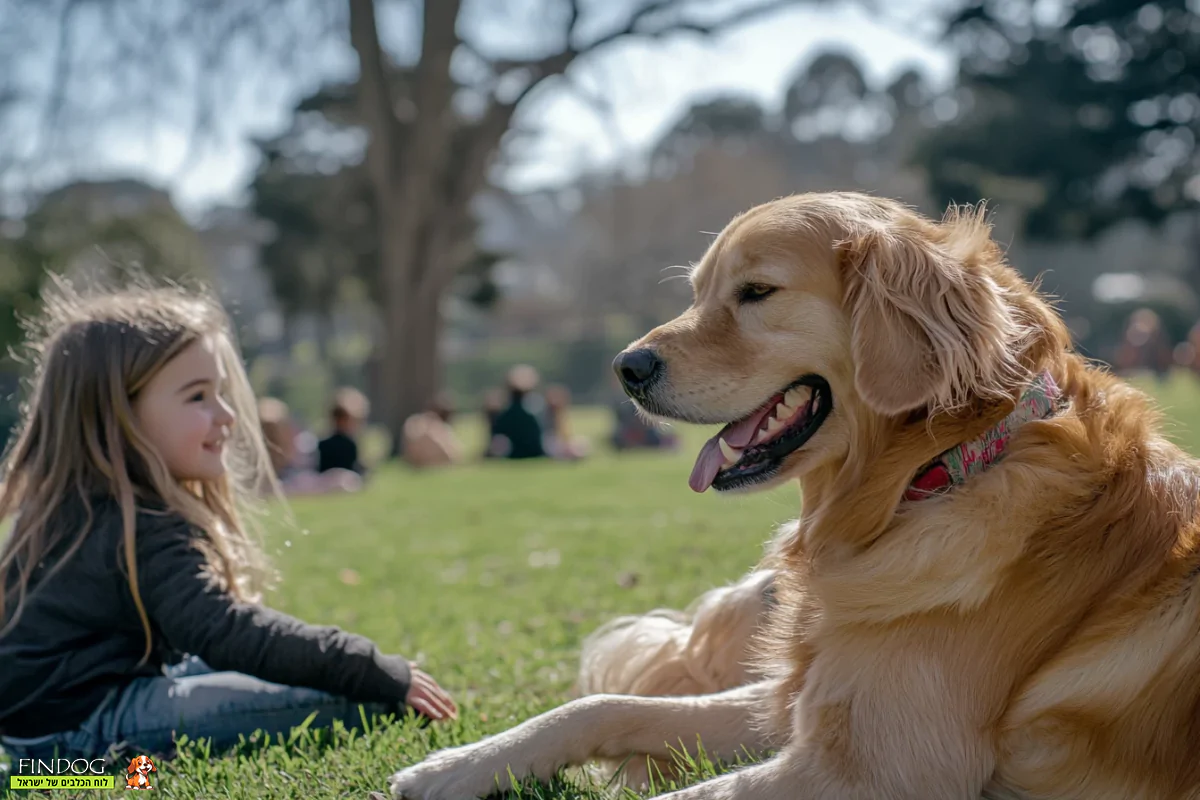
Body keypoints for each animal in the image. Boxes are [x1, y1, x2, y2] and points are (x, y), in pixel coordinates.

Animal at [388, 195, 1200, 800]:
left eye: (756, 293)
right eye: (699, 292)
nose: (626, 368)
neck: (934, 475)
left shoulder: (879, 771)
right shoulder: (800, 698)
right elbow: (604, 704)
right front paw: (456, 766)